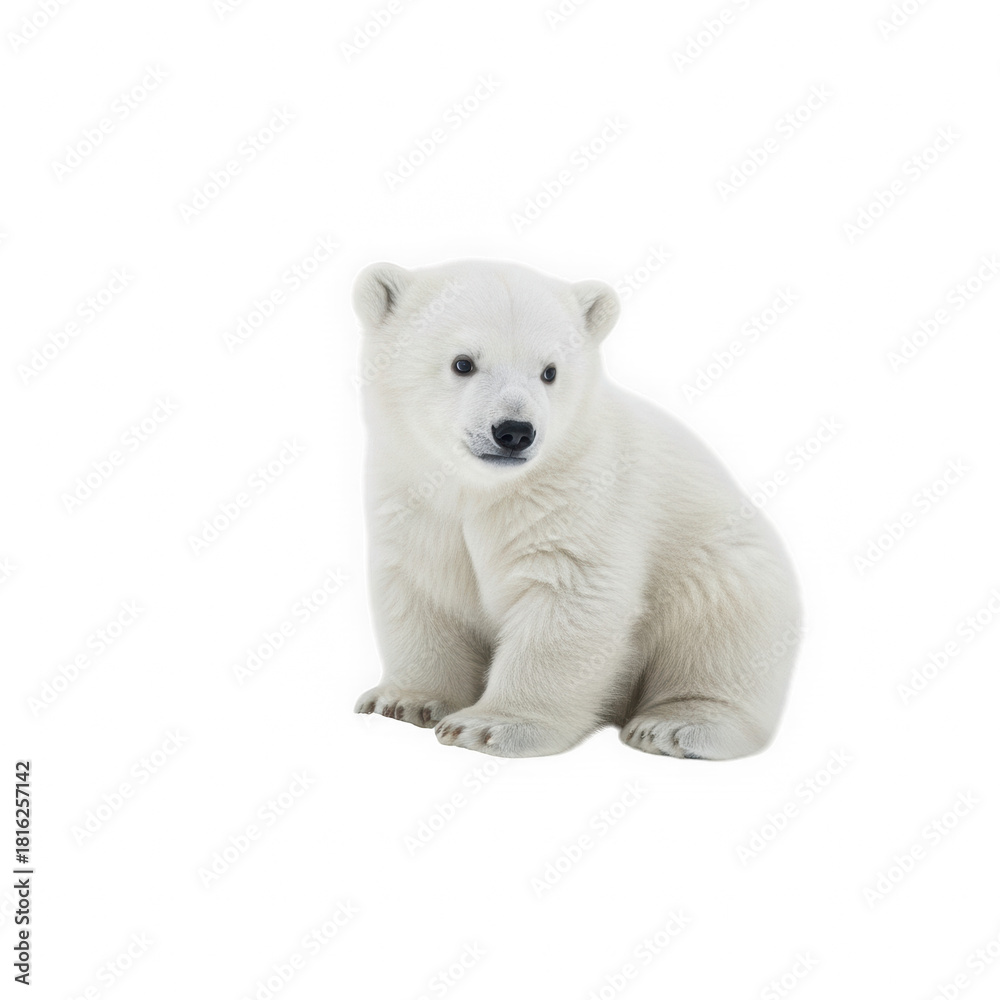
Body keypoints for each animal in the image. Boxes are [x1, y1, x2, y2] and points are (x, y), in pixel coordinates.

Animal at [352, 258, 802, 759]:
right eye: (462, 363)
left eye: (549, 371)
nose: (514, 431)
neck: (484, 488)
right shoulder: (413, 495)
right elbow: (421, 588)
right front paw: (402, 701)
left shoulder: (581, 491)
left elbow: (570, 592)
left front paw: (488, 726)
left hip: (725, 568)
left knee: (719, 630)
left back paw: (674, 725)